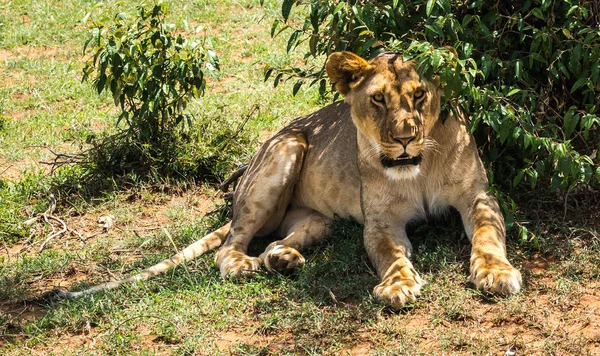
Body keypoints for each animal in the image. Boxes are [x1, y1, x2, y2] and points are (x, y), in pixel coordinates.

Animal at [54, 50, 524, 308]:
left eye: (420, 96)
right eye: (377, 100)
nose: (405, 138)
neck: (417, 168)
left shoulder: (478, 196)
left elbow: (487, 236)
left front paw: (496, 273)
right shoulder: (380, 221)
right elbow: (391, 255)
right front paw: (398, 285)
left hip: (317, 219)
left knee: (274, 241)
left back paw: (282, 259)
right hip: (287, 149)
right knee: (228, 247)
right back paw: (244, 264)